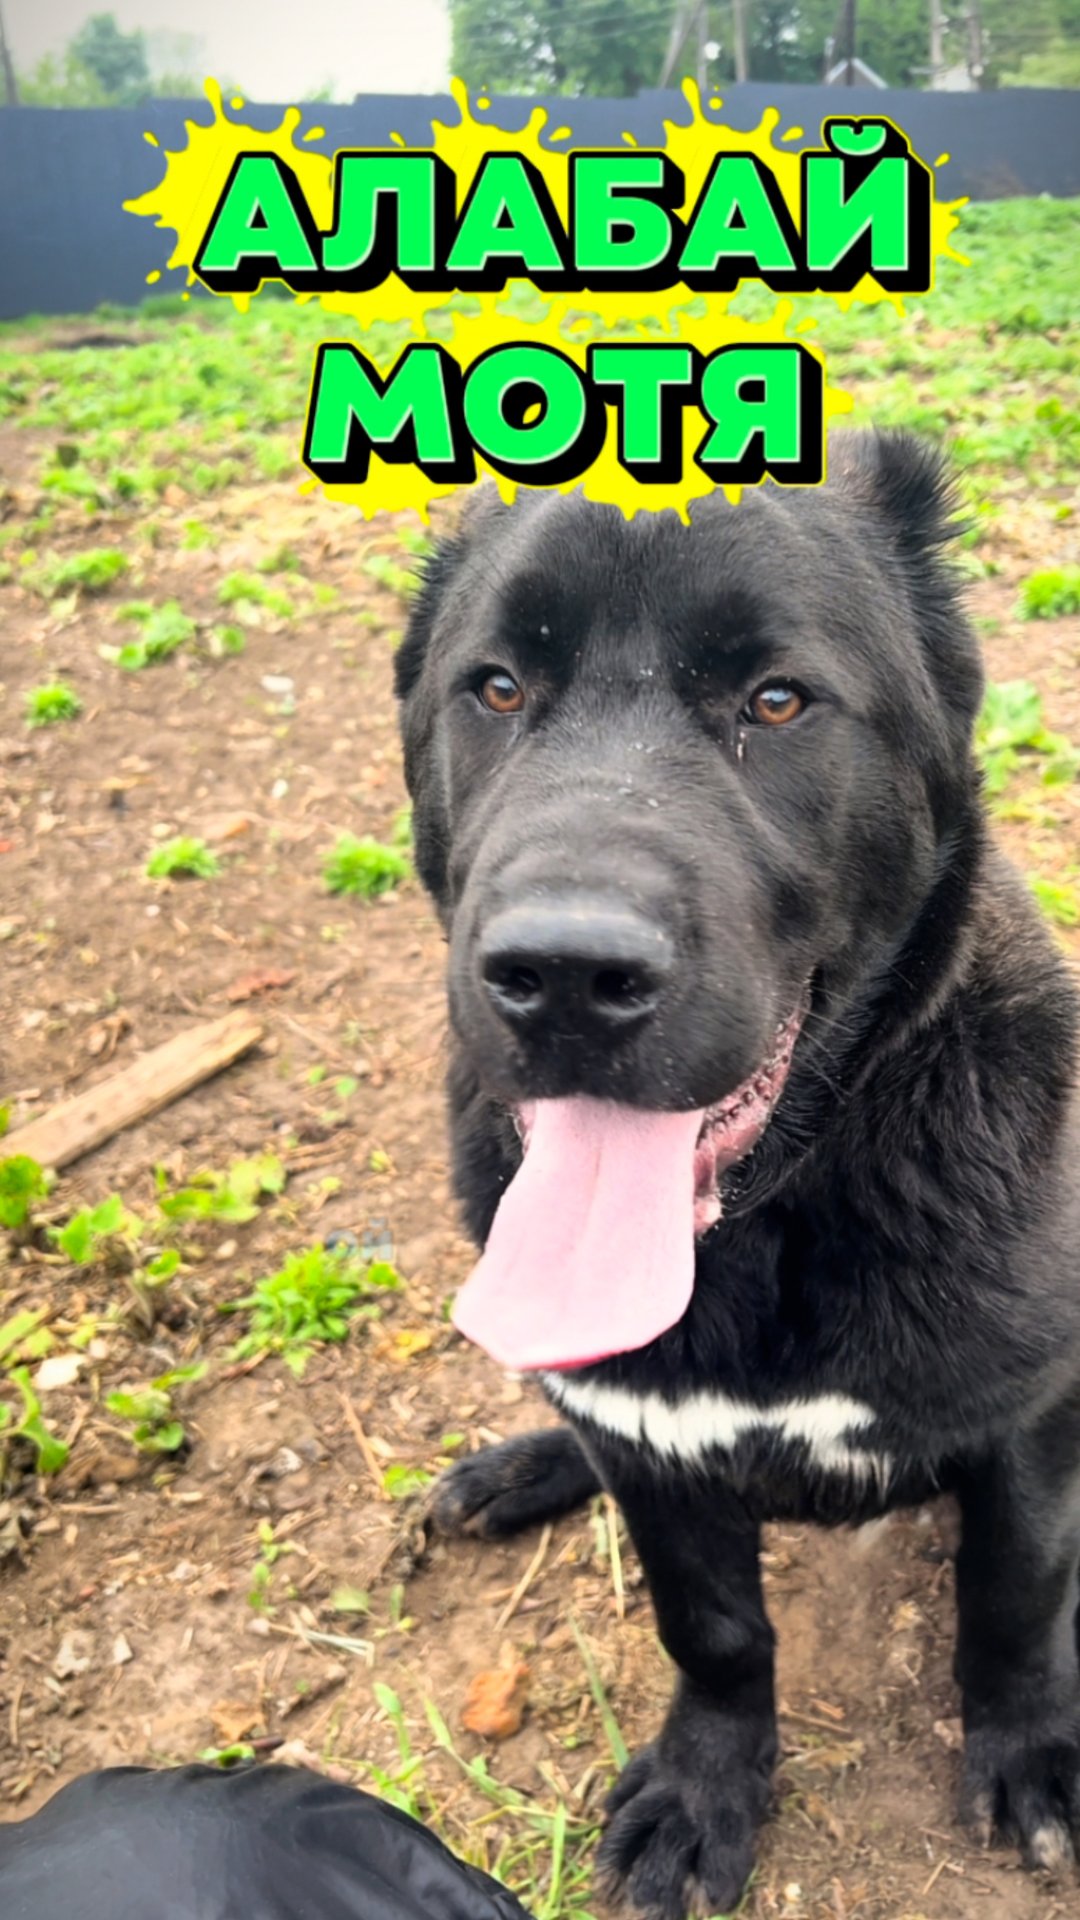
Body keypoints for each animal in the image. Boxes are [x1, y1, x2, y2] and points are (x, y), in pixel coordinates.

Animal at [394, 431, 1080, 1920]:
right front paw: (710, 1787)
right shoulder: (657, 1457)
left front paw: (1032, 1752)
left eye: (778, 700)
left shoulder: (1036, 1419)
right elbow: (709, 1626)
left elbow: (1018, 1595)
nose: (565, 976)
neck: (773, 1218)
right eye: (496, 687)